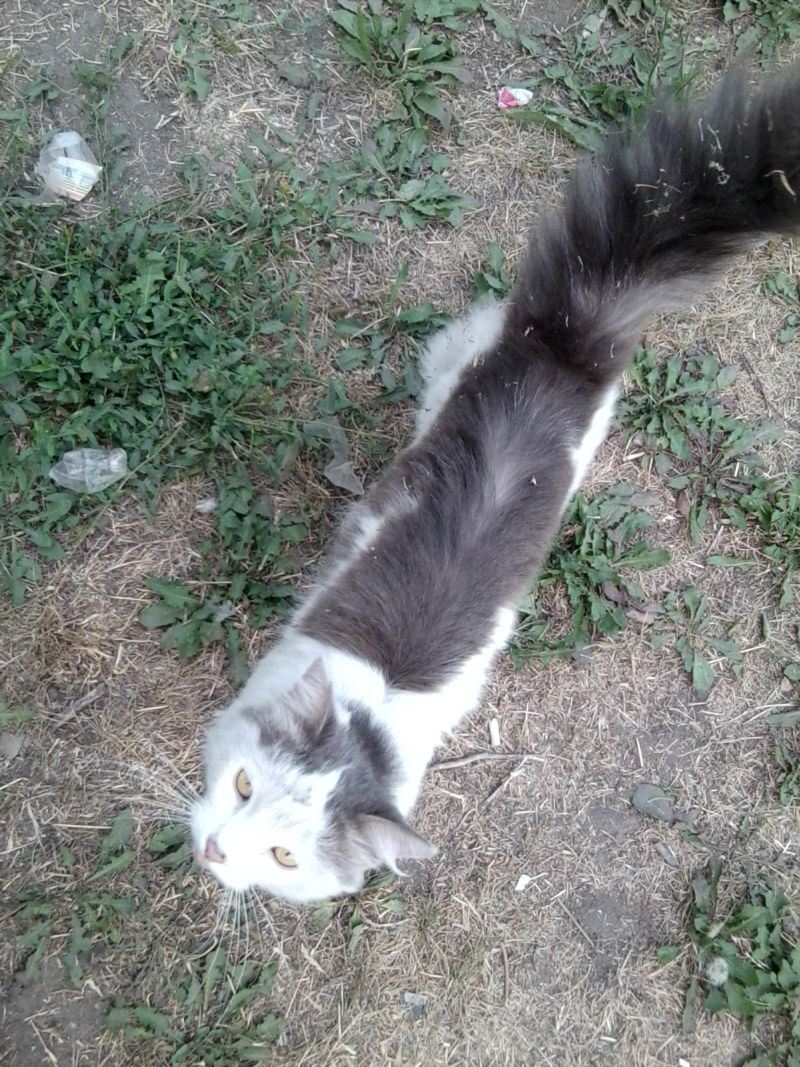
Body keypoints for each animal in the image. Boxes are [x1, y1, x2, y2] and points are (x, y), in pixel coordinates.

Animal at [191, 64, 800, 905]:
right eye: (243, 784)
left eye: (285, 857)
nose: (215, 850)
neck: (370, 721)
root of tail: (567, 346)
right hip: (459, 356)